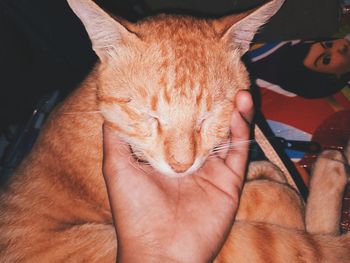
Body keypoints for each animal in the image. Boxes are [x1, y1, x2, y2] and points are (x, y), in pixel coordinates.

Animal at [0, 0, 348, 262]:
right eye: (148, 115)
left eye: (208, 116)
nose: (181, 166)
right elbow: (276, 197)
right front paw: (274, 182)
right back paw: (330, 168)